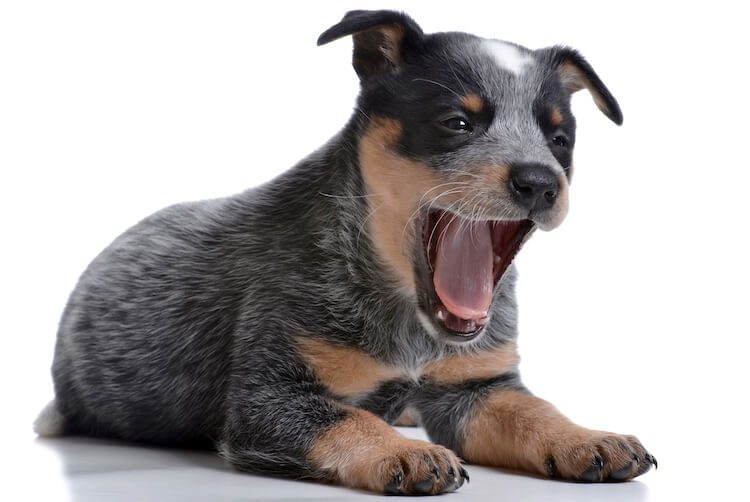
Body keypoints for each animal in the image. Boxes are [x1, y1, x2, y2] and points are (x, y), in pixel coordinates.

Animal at [36, 9, 656, 496]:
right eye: (457, 122)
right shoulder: (269, 398)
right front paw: (405, 452)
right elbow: (345, 419)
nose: (540, 182)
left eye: (560, 139)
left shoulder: (478, 386)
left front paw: (588, 437)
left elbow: (535, 410)